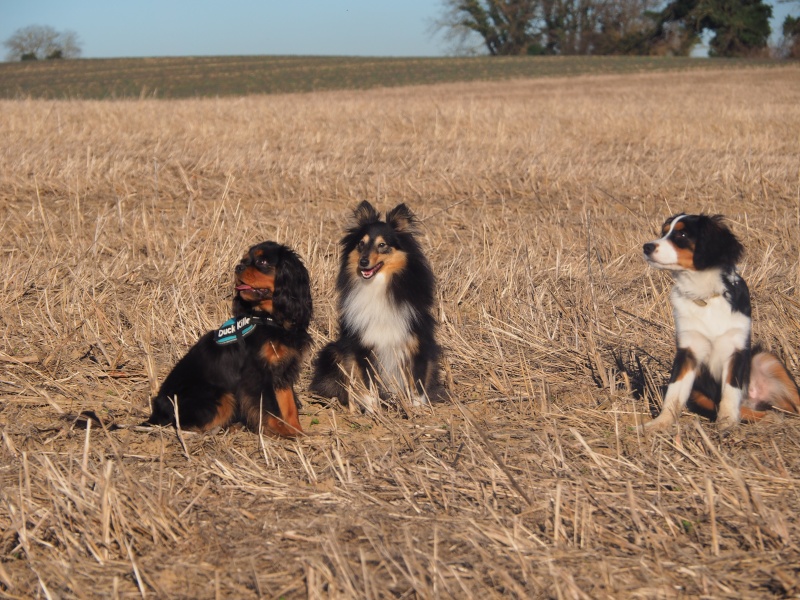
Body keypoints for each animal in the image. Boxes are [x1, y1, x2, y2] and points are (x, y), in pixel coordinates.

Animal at [147, 241, 312, 438]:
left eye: (263, 261)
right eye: (245, 260)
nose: (238, 267)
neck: (270, 319)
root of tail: (157, 411)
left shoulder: (283, 370)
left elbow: (288, 406)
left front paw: (297, 431)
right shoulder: (257, 373)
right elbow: (269, 407)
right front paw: (281, 431)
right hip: (221, 395)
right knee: (184, 425)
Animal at [310, 202, 444, 412]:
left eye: (382, 245)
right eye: (361, 243)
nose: (363, 262)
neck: (377, 284)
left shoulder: (417, 343)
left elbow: (417, 382)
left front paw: (417, 410)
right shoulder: (363, 346)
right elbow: (368, 384)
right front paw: (373, 411)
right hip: (333, 351)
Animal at [644, 216, 800, 432]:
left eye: (682, 234)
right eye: (664, 232)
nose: (646, 247)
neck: (705, 295)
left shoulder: (736, 348)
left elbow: (730, 392)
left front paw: (726, 423)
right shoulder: (688, 351)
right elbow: (674, 393)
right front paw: (660, 423)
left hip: (765, 358)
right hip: (698, 394)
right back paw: (772, 417)